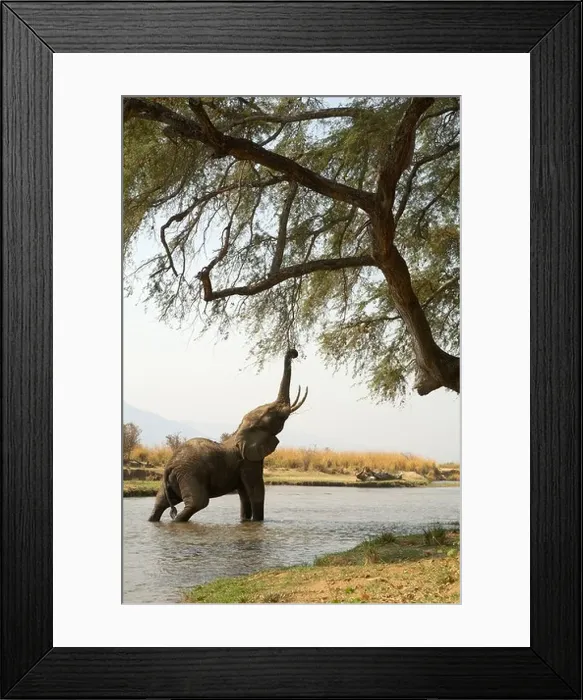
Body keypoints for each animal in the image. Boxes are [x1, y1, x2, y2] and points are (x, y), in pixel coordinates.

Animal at [148, 349, 307, 523]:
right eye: (272, 412)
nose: (294, 352)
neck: (240, 430)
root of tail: (169, 466)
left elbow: (244, 495)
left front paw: (245, 521)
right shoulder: (249, 461)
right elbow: (256, 491)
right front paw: (258, 522)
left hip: (174, 480)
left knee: (160, 503)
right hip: (190, 474)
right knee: (198, 503)